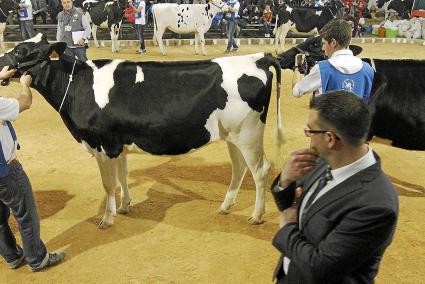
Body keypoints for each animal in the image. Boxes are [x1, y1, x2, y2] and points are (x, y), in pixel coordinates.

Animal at [0, 33, 284, 229]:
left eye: (22, 50)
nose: (2, 62)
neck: (77, 85)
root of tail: (258, 57)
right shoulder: (117, 145)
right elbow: (123, 177)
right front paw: (125, 206)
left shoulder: (102, 145)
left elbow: (108, 184)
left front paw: (107, 219)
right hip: (232, 136)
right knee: (239, 168)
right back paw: (225, 207)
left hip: (249, 134)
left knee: (260, 170)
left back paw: (256, 216)